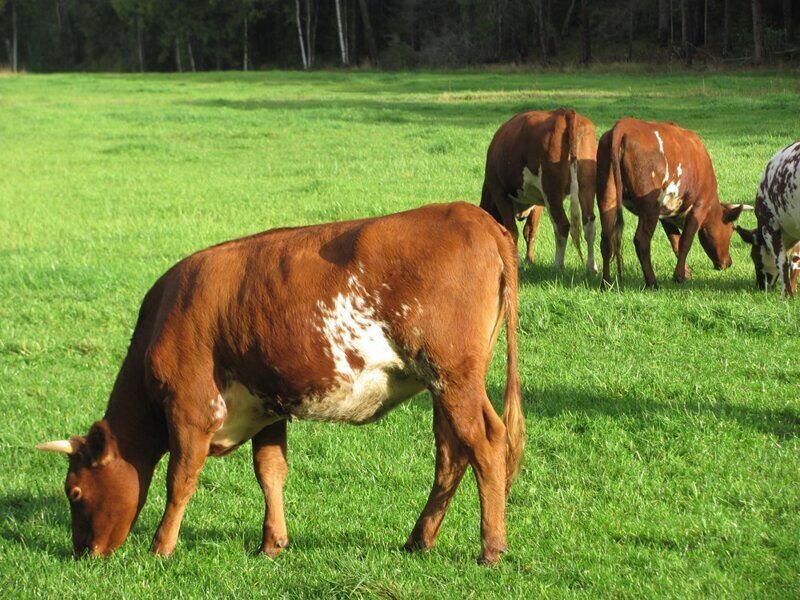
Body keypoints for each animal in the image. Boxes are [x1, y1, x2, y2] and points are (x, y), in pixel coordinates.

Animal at [36, 203, 524, 568]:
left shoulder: (191, 409)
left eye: (74, 492)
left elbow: (180, 479)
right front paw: (271, 543)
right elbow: (270, 472)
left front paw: (161, 547)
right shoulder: (267, 405)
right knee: (452, 452)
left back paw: (490, 548)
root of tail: (472, 216)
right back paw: (419, 538)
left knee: (485, 441)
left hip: (453, 375)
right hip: (444, 383)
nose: (84, 552)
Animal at [478, 109, 596, 274]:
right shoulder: (538, 201)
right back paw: (592, 267)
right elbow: (530, 231)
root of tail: (566, 112)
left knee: (562, 225)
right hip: (586, 187)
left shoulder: (499, 192)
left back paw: (558, 266)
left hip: (551, 191)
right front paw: (529, 260)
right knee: (589, 224)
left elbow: (512, 231)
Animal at [592, 118, 752, 290]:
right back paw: (652, 282)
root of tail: (625, 124)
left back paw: (606, 283)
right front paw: (679, 276)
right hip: (650, 207)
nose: (728, 263)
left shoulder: (666, 215)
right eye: (730, 231)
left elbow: (675, 241)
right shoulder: (699, 206)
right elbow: (685, 241)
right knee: (641, 240)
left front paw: (685, 273)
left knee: (606, 239)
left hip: (607, 197)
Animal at [736, 141, 800, 300]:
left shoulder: (770, 226)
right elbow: (796, 258)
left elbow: (782, 262)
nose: (760, 286)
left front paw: (786, 296)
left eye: (754, 257)